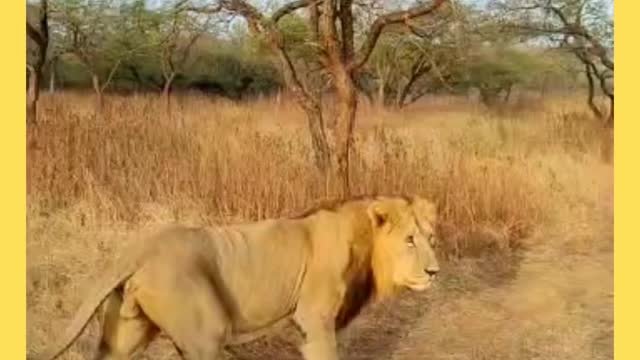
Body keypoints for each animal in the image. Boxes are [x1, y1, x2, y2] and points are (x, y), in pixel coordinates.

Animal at [30, 194, 440, 360]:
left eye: (431, 238)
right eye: (409, 240)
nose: (434, 272)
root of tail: (141, 247)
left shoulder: (303, 326)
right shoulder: (315, 317)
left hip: (125, 333)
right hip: (205, 333)